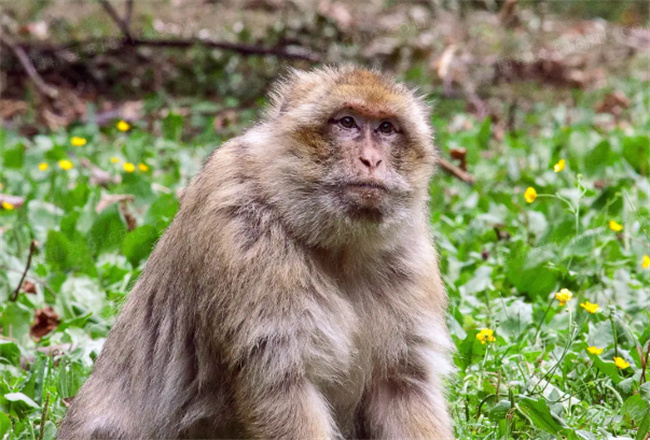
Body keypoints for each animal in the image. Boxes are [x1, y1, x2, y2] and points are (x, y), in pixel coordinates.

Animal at [59, 66, 456, 440]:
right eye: (347, 122)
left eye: (386, 128)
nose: (371, 160)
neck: (337, 247)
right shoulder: (243, 233)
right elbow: (280, 383)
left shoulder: (407, 254)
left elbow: (402, 385)